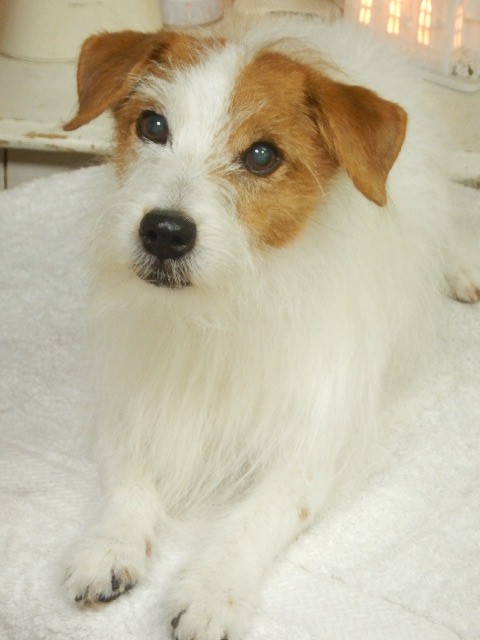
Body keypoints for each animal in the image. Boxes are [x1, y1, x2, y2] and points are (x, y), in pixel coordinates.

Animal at [62, 13, 480, 640]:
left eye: (261, 156)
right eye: (153, 126)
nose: (163, 231)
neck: (223, 310)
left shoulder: (310, 445)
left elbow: (254, 519)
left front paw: (212, 591)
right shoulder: (133, 402)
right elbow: (129, 481)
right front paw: (109, 546)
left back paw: (461, 268)